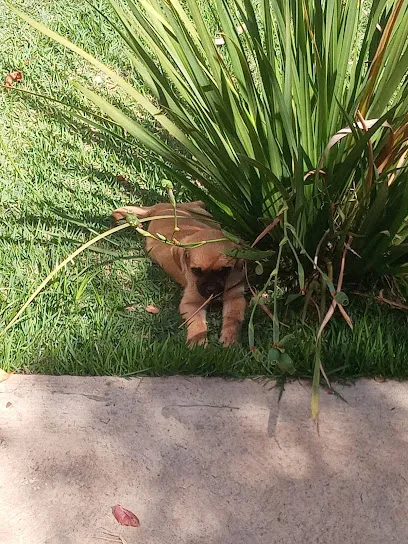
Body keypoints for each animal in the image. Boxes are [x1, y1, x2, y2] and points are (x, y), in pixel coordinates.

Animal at [111, 202, 245, 346]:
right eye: (196, 271)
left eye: (225, 270)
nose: (211, 289)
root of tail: (161, 206)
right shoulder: (191, 303)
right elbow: (197, 322)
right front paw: (197, 339)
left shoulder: (235, 297)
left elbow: (233, 317)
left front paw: (230, 336)